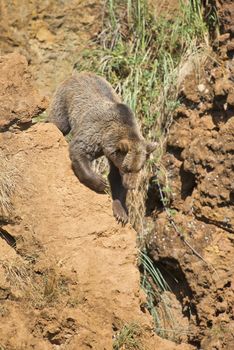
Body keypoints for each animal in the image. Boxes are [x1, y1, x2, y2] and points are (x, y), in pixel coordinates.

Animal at [47, 72, 157, 223]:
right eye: (127, 168)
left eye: (139, 168)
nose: (131, 185)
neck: (107, 140)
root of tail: (78, 74)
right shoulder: (95, 132)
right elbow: (79, 150)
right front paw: (100, 183)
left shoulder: (115, 155)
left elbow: (115, 178)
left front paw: (121, 212)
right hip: (64, 101)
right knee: (58, 123)